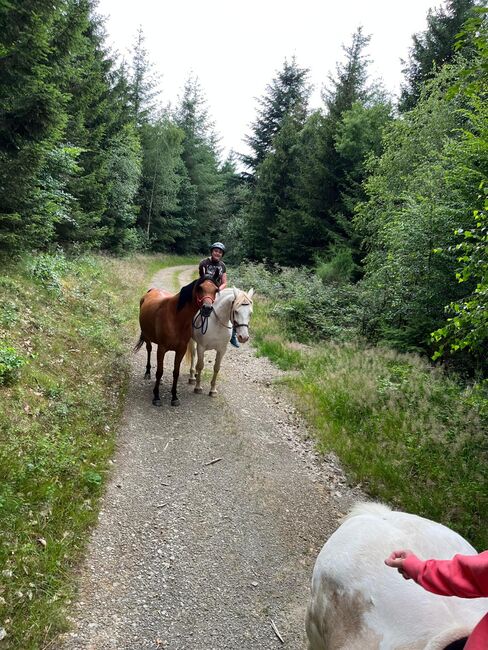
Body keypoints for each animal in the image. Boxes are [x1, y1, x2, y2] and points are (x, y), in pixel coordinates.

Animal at [132, 272, 218, 404]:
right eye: (200, 288)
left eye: (216, 290)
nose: (207, 308)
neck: (175, 318)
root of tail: (151, 291)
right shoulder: (162, 349)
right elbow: (159, 372)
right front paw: (156, 396)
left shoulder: (181, 350)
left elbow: (176, 373)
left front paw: (174, 397)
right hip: (147, 336)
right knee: (149, 349)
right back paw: (147, 372)